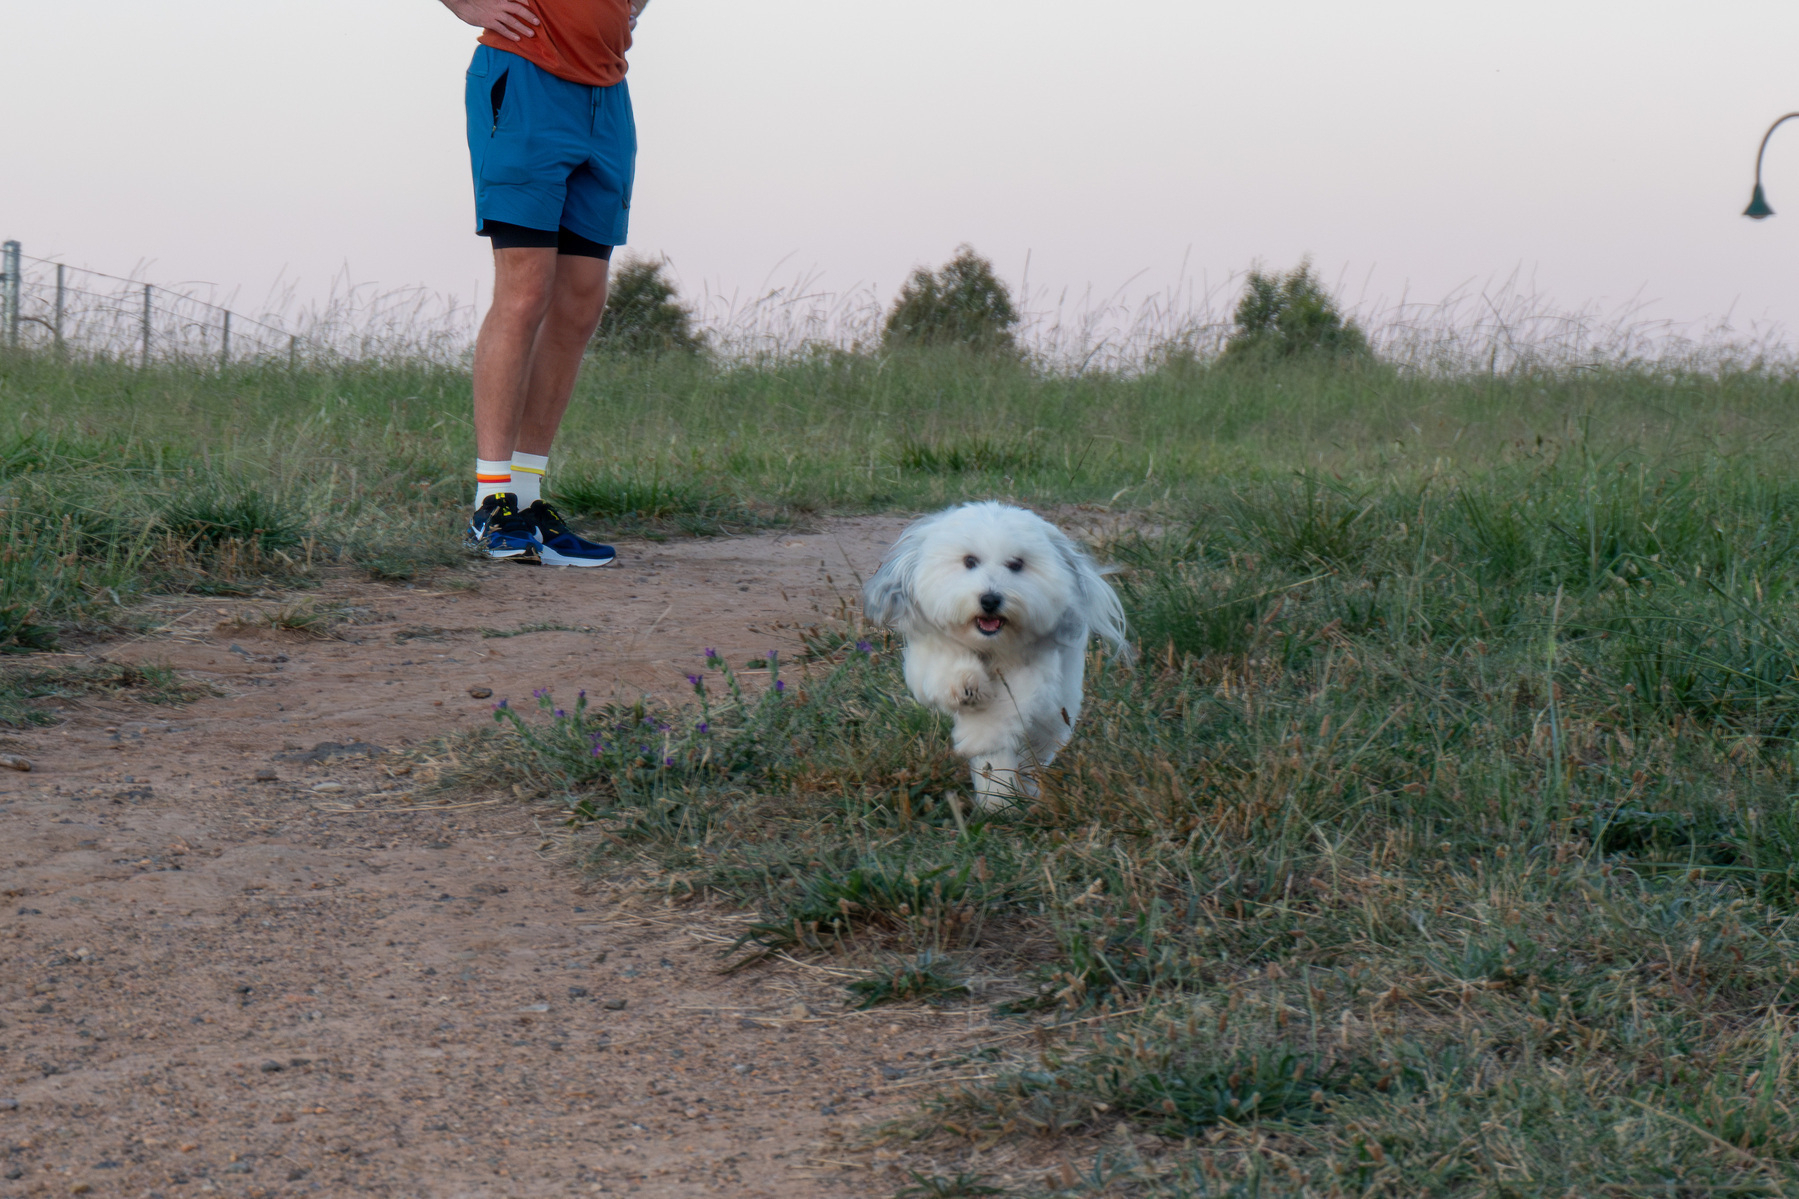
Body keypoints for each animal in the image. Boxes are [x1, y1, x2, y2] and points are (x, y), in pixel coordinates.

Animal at [856, 500, 1122, 806]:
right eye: (969, 561)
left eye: (1016, 564)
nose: (990, 599)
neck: (990, 647)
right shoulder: (928, 650)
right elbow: (945, 665)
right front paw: (964, 685)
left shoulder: (1034, 673)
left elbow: (1003, 711)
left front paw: (980, 741)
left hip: (1057, 712)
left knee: (1037, 746)